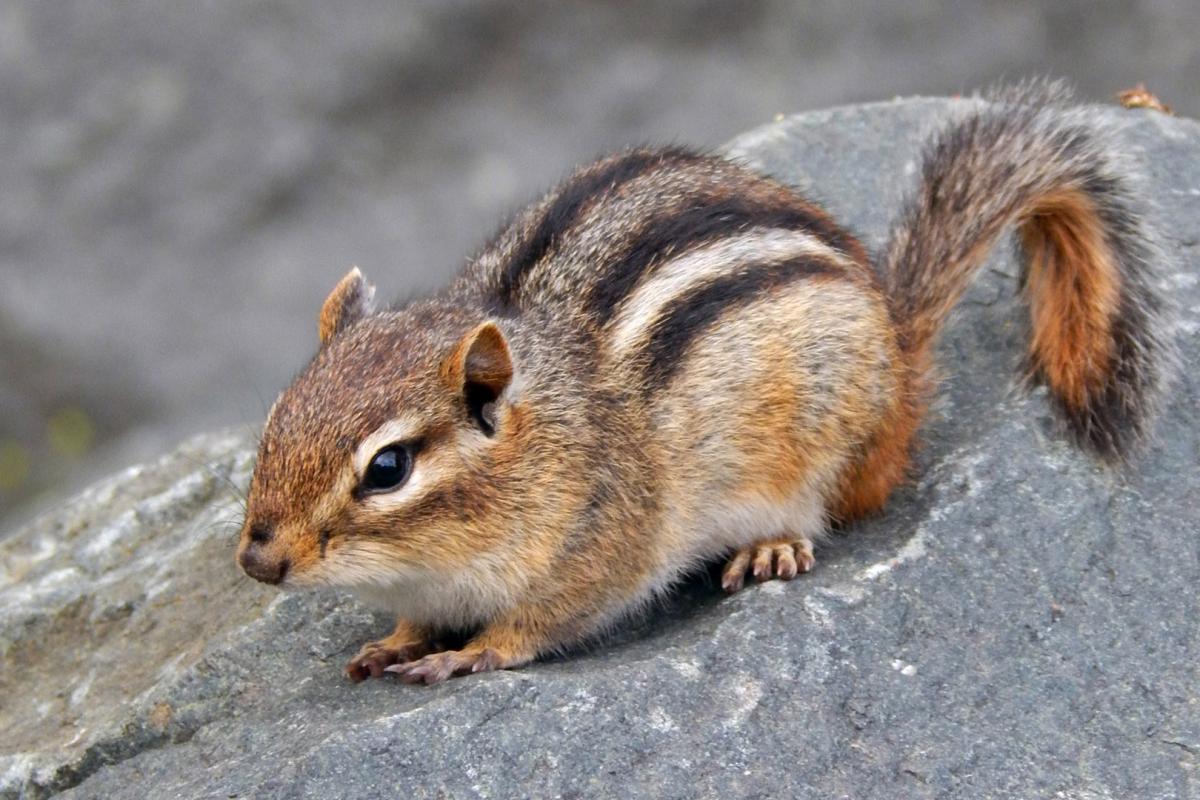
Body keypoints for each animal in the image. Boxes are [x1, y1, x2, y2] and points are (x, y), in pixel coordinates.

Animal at [237, 81, 1175, 685]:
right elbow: (411, 620)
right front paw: (395, 640)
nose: (256, 560)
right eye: (275, 419)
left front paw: (471, 650)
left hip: (820, 447)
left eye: (387, 469)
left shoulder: (605, 543)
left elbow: (546, 622)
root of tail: (899, 357)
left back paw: (772, 547)